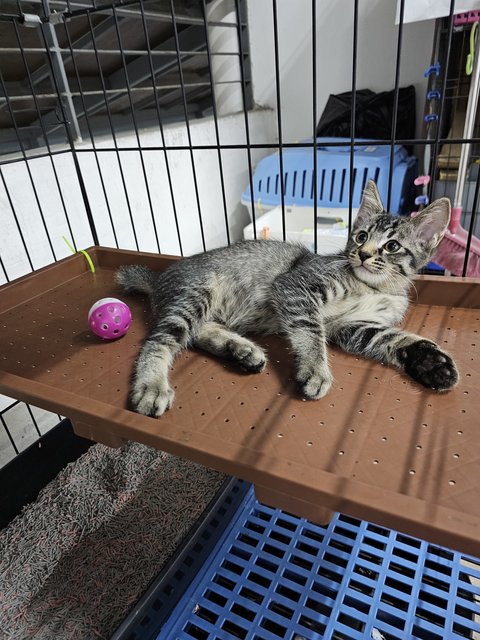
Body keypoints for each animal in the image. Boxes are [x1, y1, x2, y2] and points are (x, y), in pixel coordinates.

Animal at [116, 180, 458, 420]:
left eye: (391, 246)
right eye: (361, 236)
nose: (362, 254)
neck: (377, 287)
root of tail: (160, 278)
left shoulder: (354, 327)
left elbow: (391, 338)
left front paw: (433, 363)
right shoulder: (295, 285)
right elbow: (310, 328)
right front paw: (315, 369)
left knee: (198, 331)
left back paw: (241, 350)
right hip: (196, 293)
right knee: (160, 340)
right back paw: (152, 386)